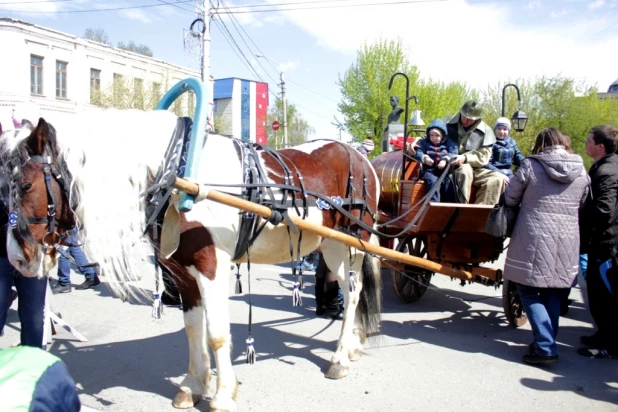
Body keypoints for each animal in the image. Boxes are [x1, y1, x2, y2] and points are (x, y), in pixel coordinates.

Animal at [1, 110, 380, 412]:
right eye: (5, 187)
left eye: (25, 185)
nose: (16, 258)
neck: (178, 174)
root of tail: (361, 159)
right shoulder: (182, 271)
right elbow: (193, 328)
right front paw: (194, 384)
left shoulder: (211, 265)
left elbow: (216, 334)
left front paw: (223, 394)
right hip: (329, 245)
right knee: (353, 293)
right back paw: (354, 345)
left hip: (349, 243)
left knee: (354, 293)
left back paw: (340, 357)